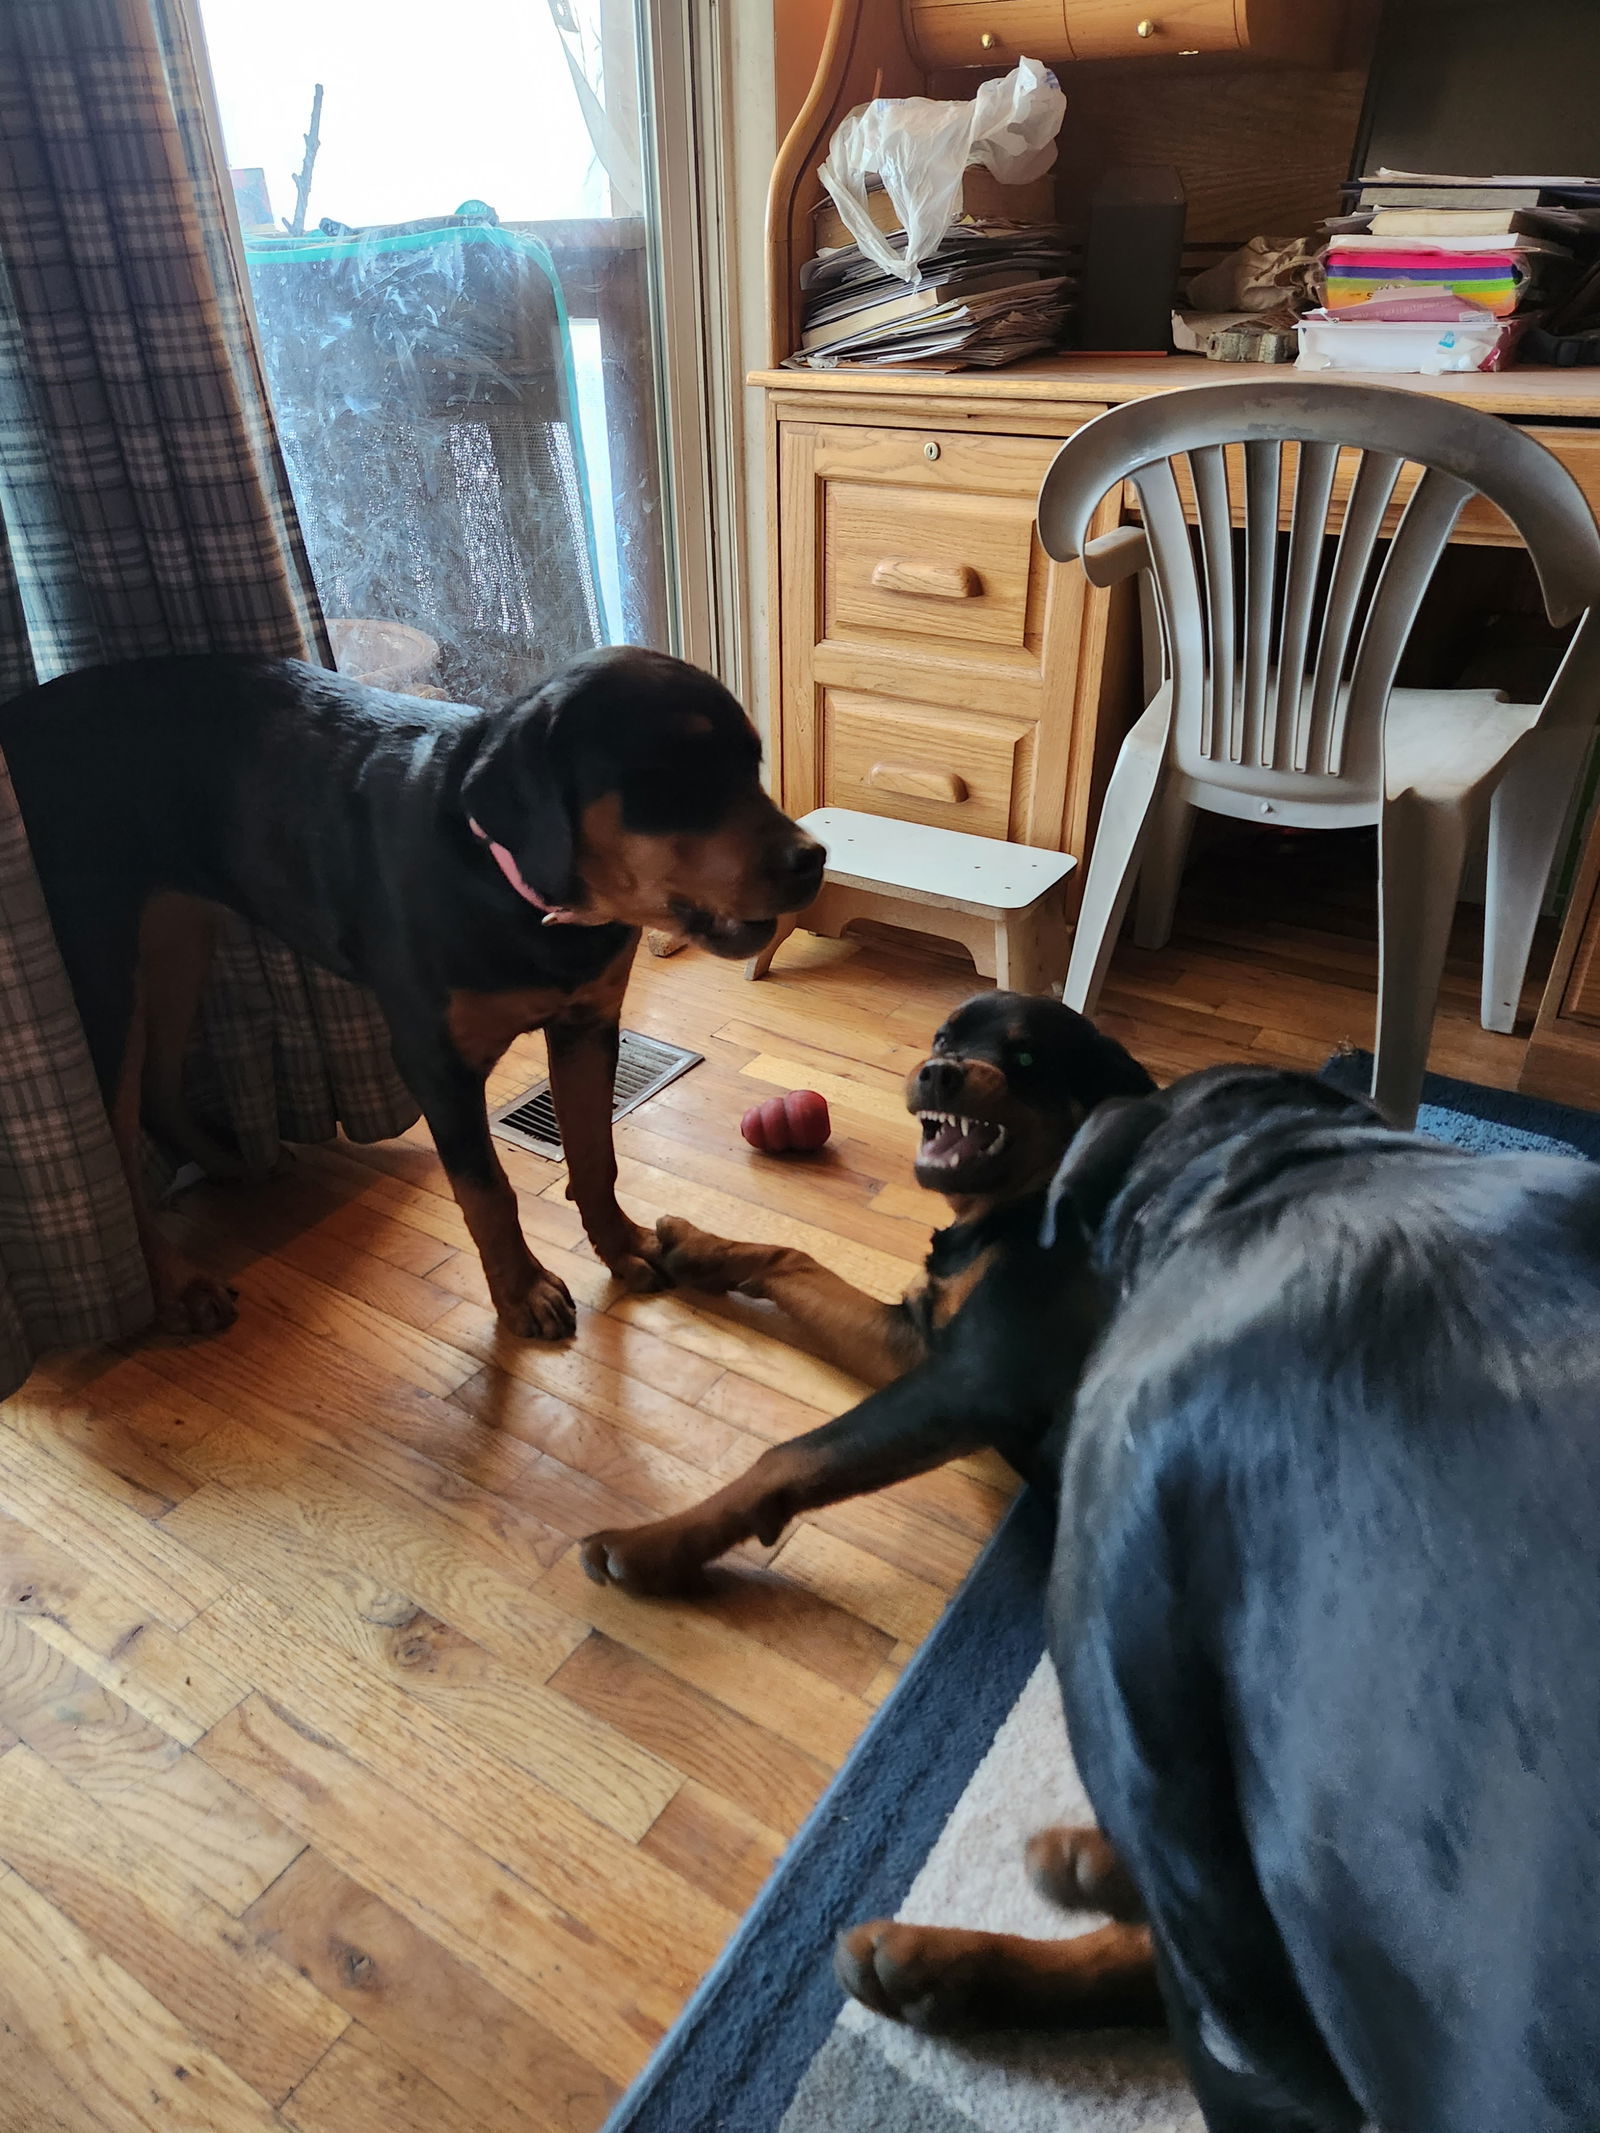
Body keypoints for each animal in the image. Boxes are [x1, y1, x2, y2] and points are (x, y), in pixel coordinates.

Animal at [0, 644, 827, 1330]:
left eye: (753, 762)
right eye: (667, 777)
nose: (812, 858)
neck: (512, 886)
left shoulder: (588, 1022)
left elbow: (595, 1149)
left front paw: (620, 1243)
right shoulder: (437, 1062)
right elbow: (487, 1187)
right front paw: (523, 1292)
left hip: (177, 933)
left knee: (160, 1087)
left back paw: (234, 1164)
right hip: (99, 964)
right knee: (113, 1142)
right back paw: (177, 1285)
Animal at [584, 989, 1160, 1595]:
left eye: (1027, 1057)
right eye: (943, 1039)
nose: (938, 1072)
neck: (1019, 1208)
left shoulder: (971, 1382)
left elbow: (786, 1458)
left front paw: (650, 1546)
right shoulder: (913, 1343)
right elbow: (793, 1260)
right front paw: (698, 1248)